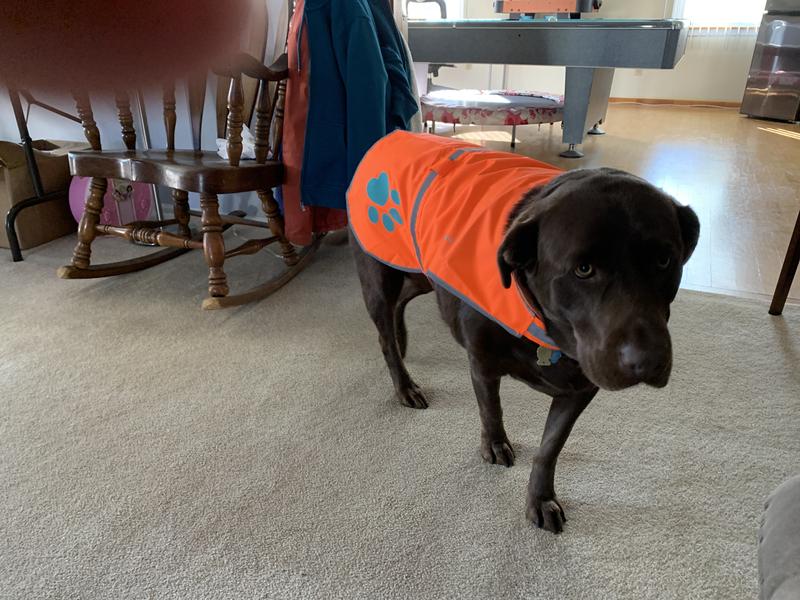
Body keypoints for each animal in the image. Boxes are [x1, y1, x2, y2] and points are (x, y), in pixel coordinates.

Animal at [346, 129, 696, 532]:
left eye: (664, 260)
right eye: (583, 269)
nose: (648, 362)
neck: (549, 330)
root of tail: (391, 135)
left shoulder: (580, 390)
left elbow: (549, 449)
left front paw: (540, 498)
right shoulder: (482, 365)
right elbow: (491, 410)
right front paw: (495, 445)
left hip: (419, 270)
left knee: (403, 299)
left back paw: (403, 340)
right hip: (378, 273)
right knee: (384, 333)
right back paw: (404, 382)